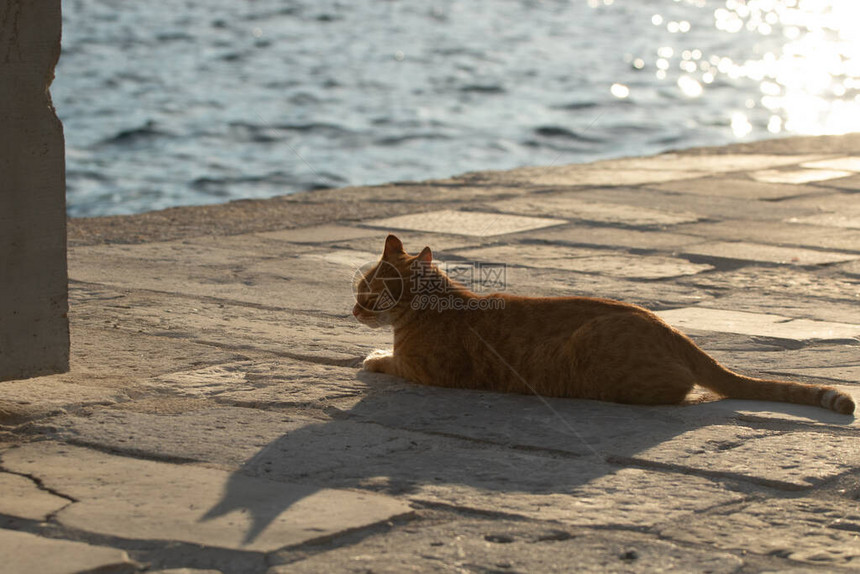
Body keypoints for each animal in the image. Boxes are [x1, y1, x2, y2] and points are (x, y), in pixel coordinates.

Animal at [352, 236, 856, 416]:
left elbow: (386, 361)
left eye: (364, 290)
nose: (353, 310)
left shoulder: (425, 371)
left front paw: (373, 356)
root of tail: (667, 327)